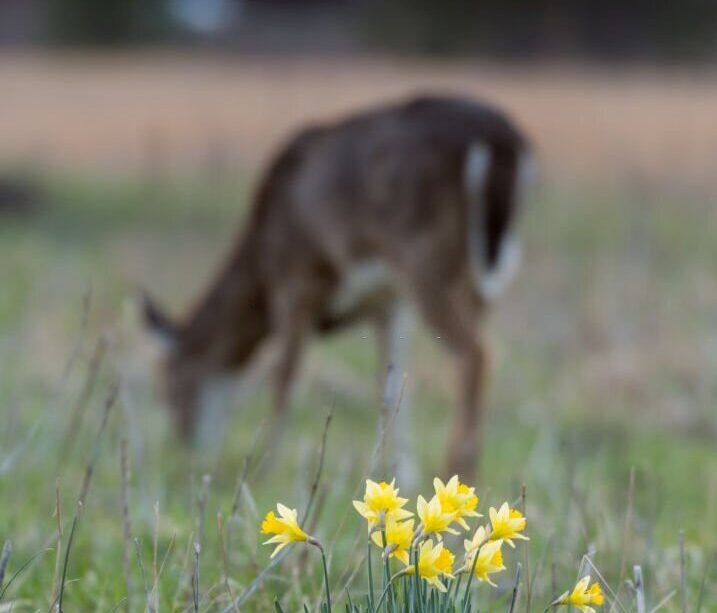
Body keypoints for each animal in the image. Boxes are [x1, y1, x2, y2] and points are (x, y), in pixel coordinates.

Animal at [141, 94, 532, 478]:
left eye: (170, 383)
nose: (185, 443)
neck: (261, 265)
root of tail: (502, 142)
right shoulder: (388, 302)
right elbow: (390, 385)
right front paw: (399, 472)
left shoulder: (296, 281)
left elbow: (283, 375)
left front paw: (265, 466)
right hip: (483, 273)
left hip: (425, 257)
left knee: (476, 353)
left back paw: (460, 467)